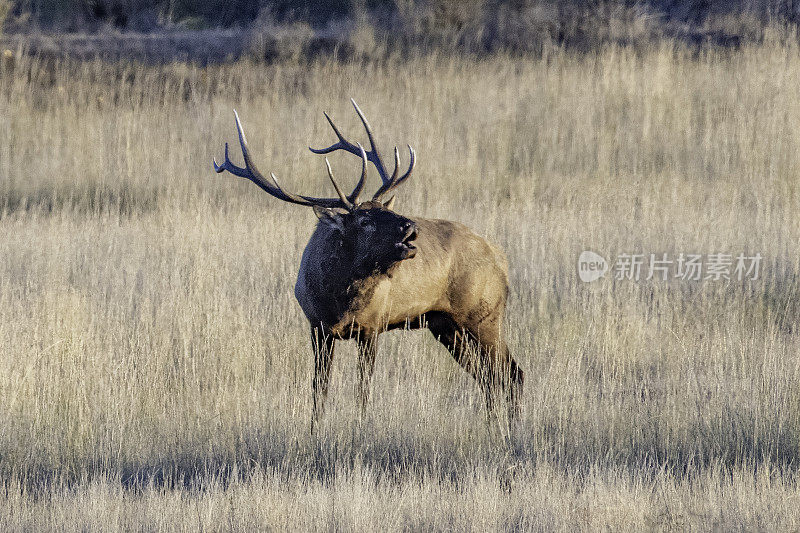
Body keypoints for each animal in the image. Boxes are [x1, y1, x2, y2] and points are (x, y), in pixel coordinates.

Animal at [212, 101, 524, 432]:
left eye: (385, 209)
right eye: (364, 221)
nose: (410, 227)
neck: (338, 300)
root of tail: (500, 257)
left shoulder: (372, 326)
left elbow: (362, 390)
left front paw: (360, 428)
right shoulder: (317, 327)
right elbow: (319, 388)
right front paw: (315, 429)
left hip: (484, 315)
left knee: (511, 373)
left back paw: (512, 428)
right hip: (445, 324)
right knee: (489, 377)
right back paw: (494, 426)